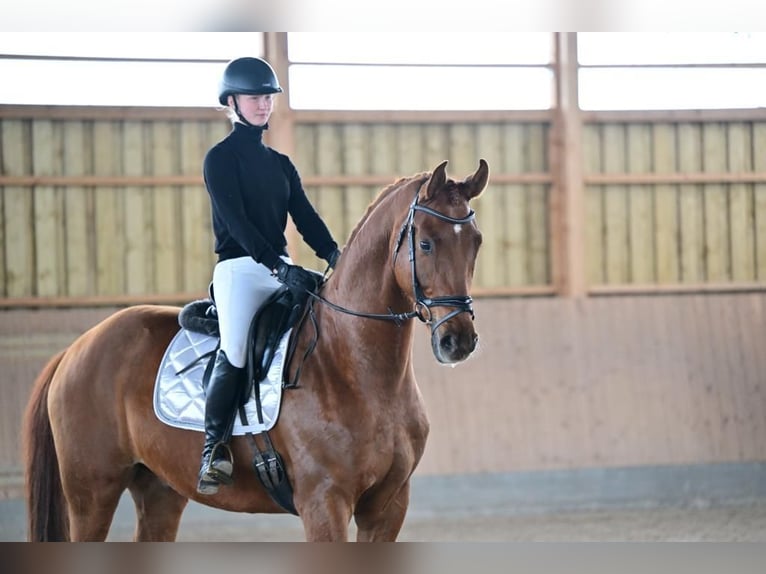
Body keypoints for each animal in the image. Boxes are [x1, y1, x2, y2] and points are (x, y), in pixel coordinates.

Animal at [22, 158, 489, 542]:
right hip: (91, 493)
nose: (458, 341)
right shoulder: (325, 503)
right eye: (425, 243)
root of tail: (76, 349)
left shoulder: (388, 507)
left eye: (476, 242)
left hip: (159, 490)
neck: (354, 368)